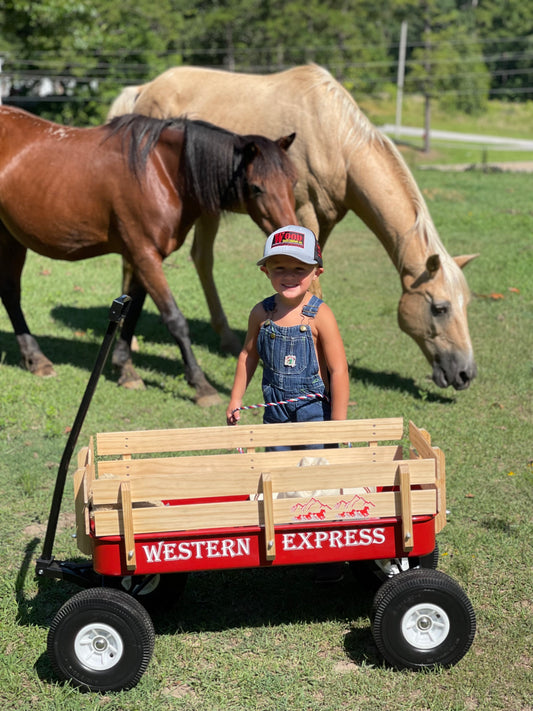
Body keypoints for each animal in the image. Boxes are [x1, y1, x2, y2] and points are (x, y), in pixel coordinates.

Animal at [0, 105, 298, 406]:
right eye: (256, 187)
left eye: (293, 182)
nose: (290, 233)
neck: (158, 171)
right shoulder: (144, 255)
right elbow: (175, 319)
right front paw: (200, 384)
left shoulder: (140, 256)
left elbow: (132, 313)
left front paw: (125, 369)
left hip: (12, 237)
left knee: (11, 293)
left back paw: (35, 359)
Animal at [106, 64, 476, 392]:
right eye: (439, 308)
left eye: (467, 304)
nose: (465, 373)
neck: (335, 137)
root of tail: (145, 89)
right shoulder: (303, 210)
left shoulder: (325, 220)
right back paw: (131, 345)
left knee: (201, 258)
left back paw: (226, 338)